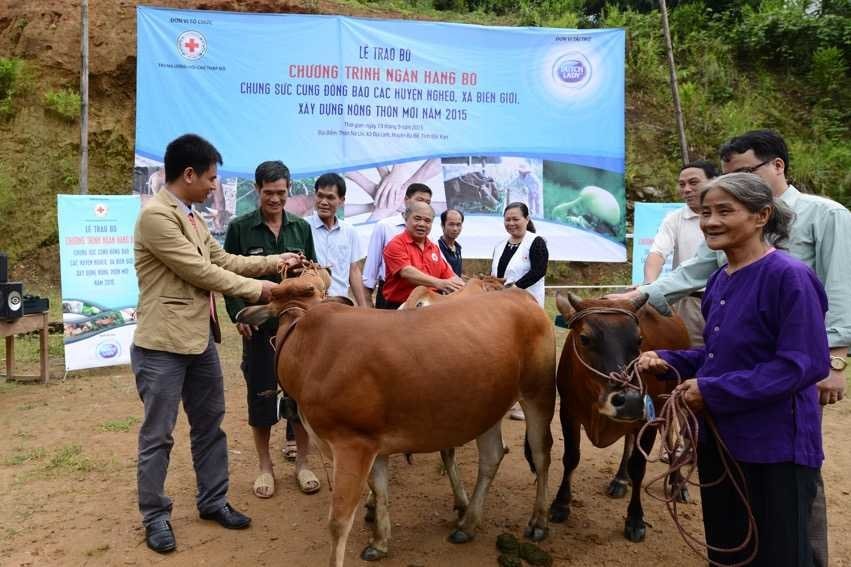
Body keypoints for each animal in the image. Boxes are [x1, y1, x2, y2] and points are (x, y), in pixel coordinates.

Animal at [238, 270, 560, 567]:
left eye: (312, 290)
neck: (309, 349)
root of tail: (520, 296)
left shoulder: (351, 444)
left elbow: (339, 522)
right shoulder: (373, 444)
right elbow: (380, 490)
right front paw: (380, 541)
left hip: (538, 393)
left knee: (541, 453)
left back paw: (538, 521)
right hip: (487, 406)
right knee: (492, 456)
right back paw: (467, 524)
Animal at [544, 296, 692, 544]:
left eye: (639, 339)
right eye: (584, 338)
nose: (630, 400)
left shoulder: (648, 421)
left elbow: (639, 466)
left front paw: (635, 519)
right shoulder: (568, 412)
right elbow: (571, 458)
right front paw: (561, 504)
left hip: (675, 398)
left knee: (674, 437)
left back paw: (677, 483)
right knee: (629, 443)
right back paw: (621, 479)